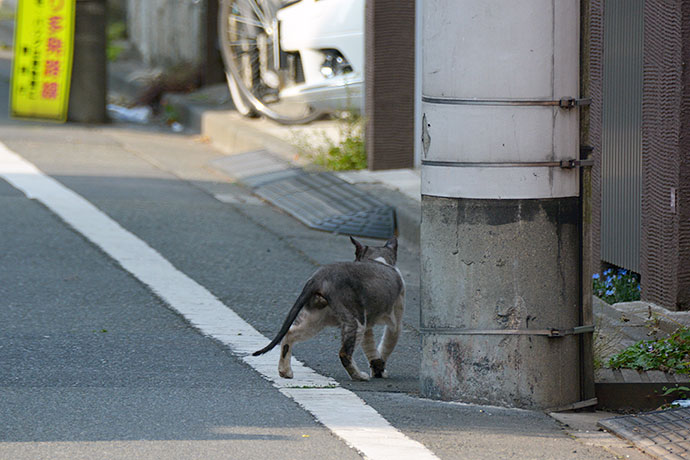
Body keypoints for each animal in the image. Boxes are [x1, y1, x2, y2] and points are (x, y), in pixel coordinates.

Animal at [253, 235, 404, 380]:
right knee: (344, 353)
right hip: (356, 320)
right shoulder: (394, 322)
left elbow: (371, 347)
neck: (378, 260)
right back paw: (359, 376)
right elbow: (385, 346)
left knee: (289, 335)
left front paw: (377, 368)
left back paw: (285, 372)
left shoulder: (368, 325)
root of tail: (319, 276)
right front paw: (379, 370)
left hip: (316, 319)